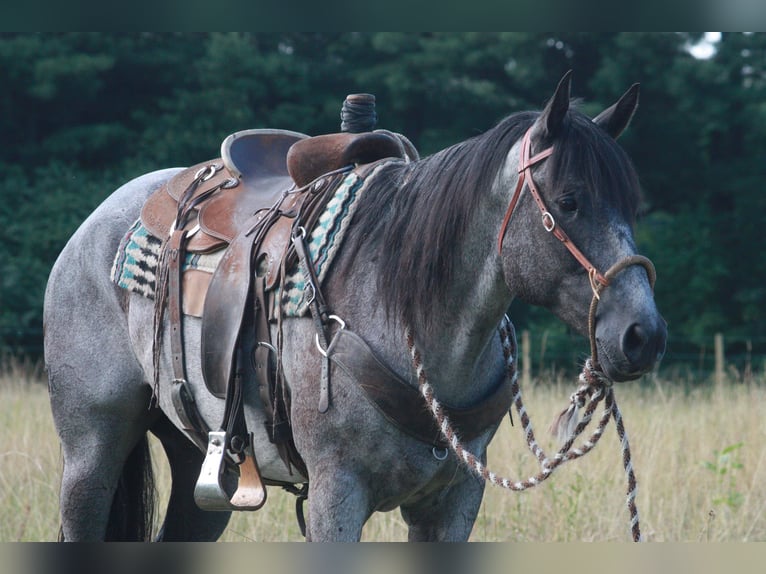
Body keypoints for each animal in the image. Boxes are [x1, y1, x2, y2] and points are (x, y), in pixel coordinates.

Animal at [43, 74, 664, 544]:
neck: (402, 303)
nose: (643, 335)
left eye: (633, 205)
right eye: (569, 201)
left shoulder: (453, 503)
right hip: (91, 452)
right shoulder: (336, 495)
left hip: (197, 467)